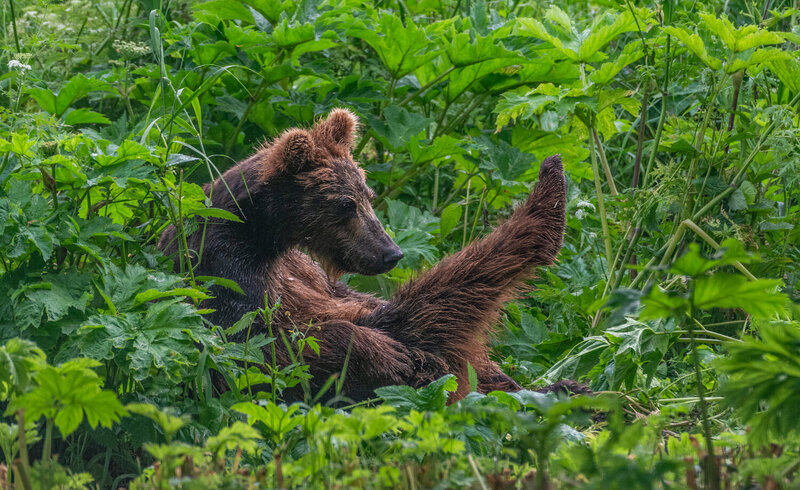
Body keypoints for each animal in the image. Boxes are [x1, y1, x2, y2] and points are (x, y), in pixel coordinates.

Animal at [158, 108, 567, 402]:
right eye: (345, 204)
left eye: (367, 195)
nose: (391, 253)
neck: (261, 235)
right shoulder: (223, 267)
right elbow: (262, 345)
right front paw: (382, 352)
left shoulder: (303, 270)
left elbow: (345, 299)